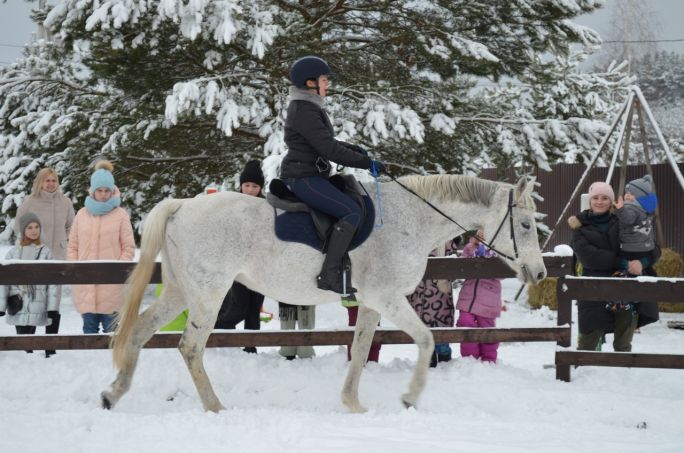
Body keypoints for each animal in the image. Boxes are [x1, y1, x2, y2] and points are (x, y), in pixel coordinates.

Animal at [103, 174, 544, 414]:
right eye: (524, 224)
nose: (538, 272)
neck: (410, 220)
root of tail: (182, 206)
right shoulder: (387, 298)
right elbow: (425, 339)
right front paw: (409, 397)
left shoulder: (370, 304)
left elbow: (362, 349)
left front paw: (353, 403)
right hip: (209, 295)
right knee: (191, 347)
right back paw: (214, 406)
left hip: (180, 293)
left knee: (140, 332)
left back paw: (113, 393)